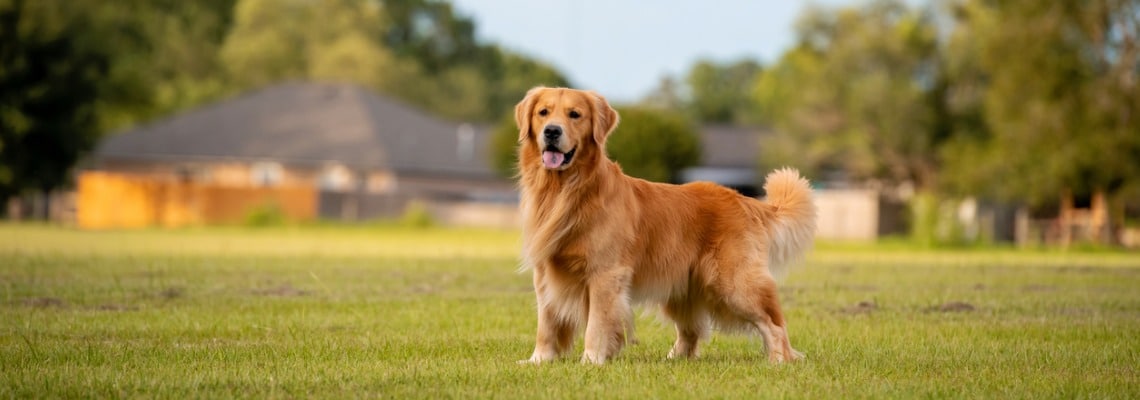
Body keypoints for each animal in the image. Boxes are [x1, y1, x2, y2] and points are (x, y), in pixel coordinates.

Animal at [513, 87, 816, 366]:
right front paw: (538, 360)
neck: (565, 190)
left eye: (574, 114)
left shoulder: (605, 274)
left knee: (773, 322)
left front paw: (591, 360)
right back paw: (673, 358)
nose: (552, 132)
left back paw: (780, 359)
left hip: (735, 285)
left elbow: (596, 324)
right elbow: (546, 323)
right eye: (543, 113)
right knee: (692, 330)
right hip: (682, 287)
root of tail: (742, 199)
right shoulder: (544, 273)